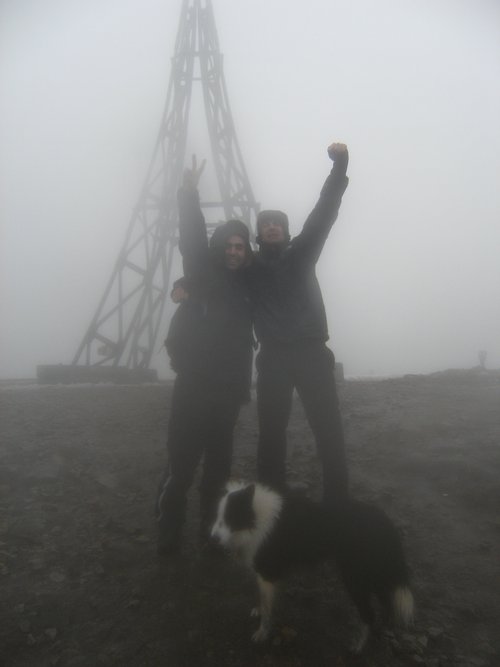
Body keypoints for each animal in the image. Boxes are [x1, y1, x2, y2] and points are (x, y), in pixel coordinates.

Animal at [211, 480, 414, 652]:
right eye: (218, 518)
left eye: (229, 518)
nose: (212, 539)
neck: (254, 517)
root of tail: (383, 521)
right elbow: (264, 599)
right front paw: (259, 611)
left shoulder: (267, 572)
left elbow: (268, 609)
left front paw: (262, 633)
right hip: (375, 575)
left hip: (355, 578)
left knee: (369, 613)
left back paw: (358, 646)